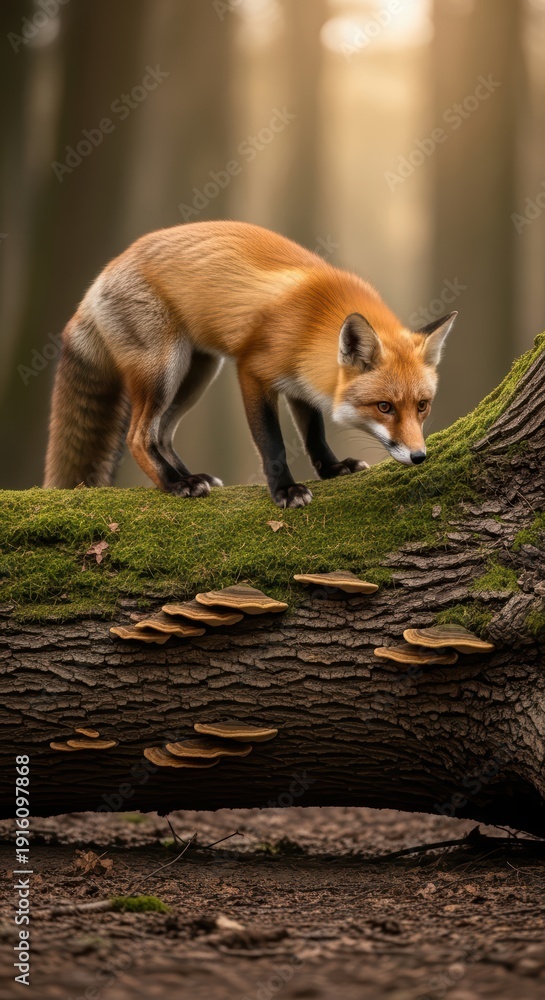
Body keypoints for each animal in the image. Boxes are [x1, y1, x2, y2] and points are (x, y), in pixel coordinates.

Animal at [44, 220, 457, 508]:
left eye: (422, 406)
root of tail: (98, 280)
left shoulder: (299, 383)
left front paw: (332, 469)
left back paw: (190, 475)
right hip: (165, 370)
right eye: (384, 407)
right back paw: (175, 483)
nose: (419, 457)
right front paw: (285, 490)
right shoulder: (252, 371)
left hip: (197, 374)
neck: (314, 320)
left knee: (162, 433)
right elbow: (273, 444)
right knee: (138, 436)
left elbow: (314, 434)